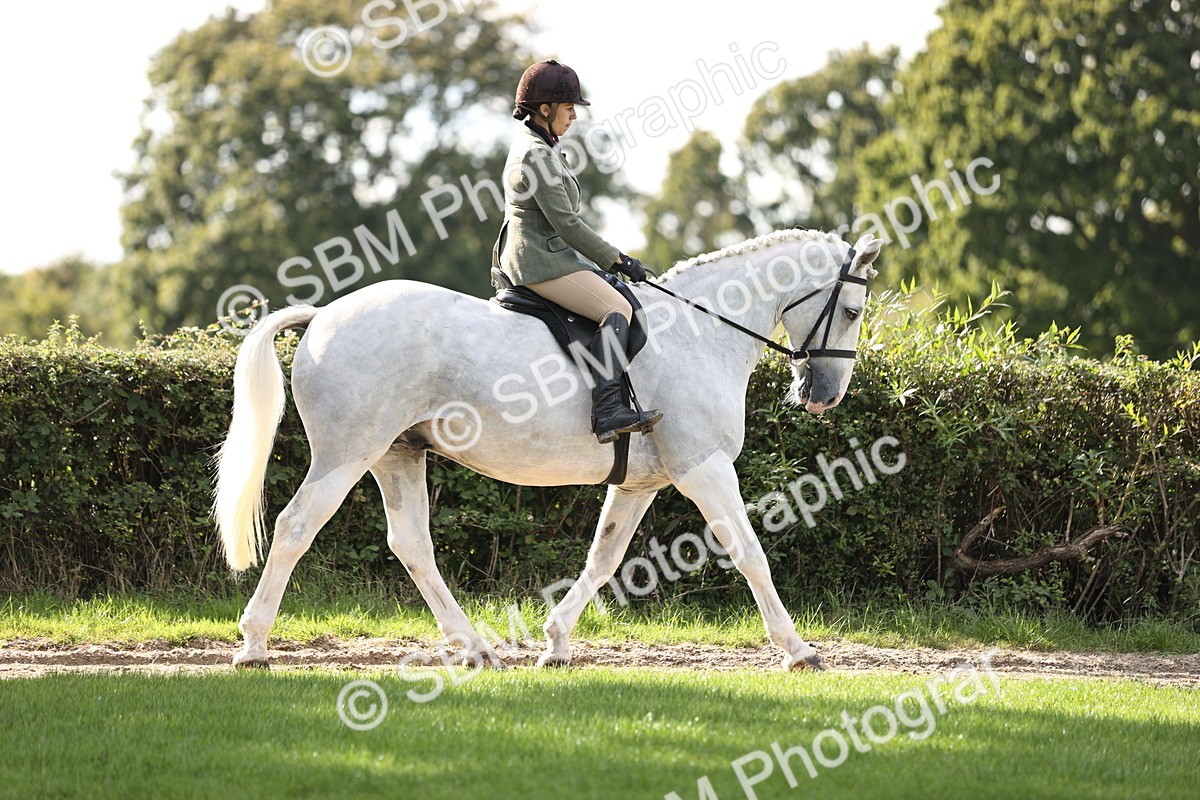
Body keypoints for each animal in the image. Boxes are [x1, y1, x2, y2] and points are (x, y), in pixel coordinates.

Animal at [213, 228, 882, 670]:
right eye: (852, 310)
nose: (822, 396)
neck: (701, 331)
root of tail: (323, 315)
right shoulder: (705, 469)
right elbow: (749, 554)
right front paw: (798, 650)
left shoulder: (640, 482)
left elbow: (604, 558)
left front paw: (556, 642)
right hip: (347, 454)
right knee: (296, 526)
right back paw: (253, 646)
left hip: (397, 453)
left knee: (411, 545)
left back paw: (477, 649)